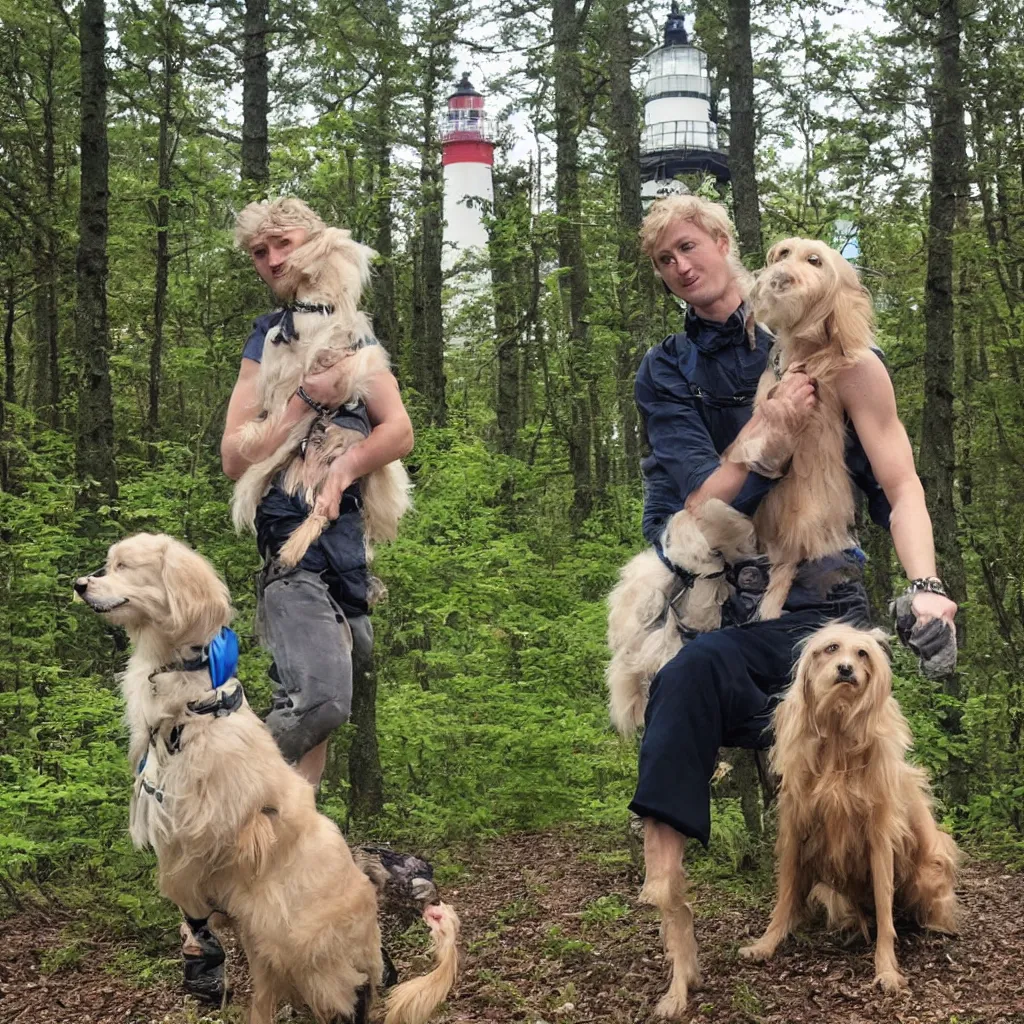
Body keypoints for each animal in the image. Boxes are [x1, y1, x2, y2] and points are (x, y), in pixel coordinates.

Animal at [73, 536, 456, 1024]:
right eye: (108, 563)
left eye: (124, 566)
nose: (79, 584)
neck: (188, 702)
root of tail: (372, 958)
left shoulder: (205, 823)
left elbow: (189, 876)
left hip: (291, 945)